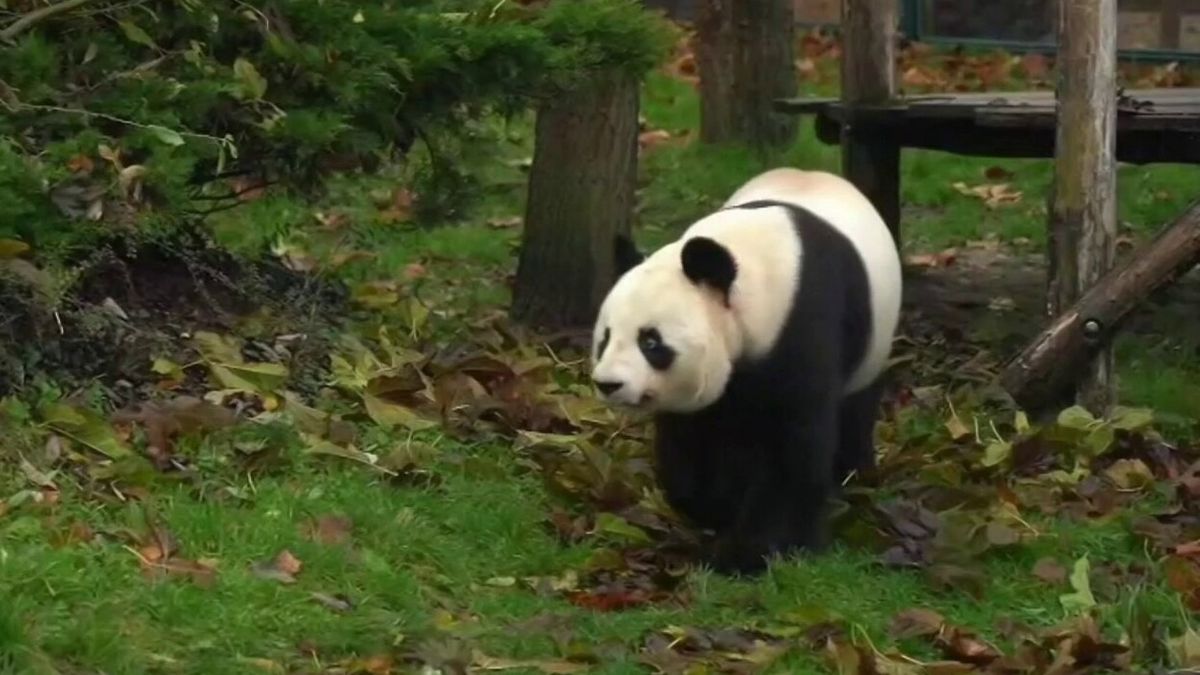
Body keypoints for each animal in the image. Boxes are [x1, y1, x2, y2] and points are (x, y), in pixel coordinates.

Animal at [590, 167, 902, 575]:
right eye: (606, 337)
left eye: (651, 342)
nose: (609, 383)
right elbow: (689, 443)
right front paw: (716, 507)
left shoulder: (805, 325)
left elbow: (791, 451)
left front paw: (754, 551)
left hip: (873, 346)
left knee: (856, 410)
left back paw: (853, 473)